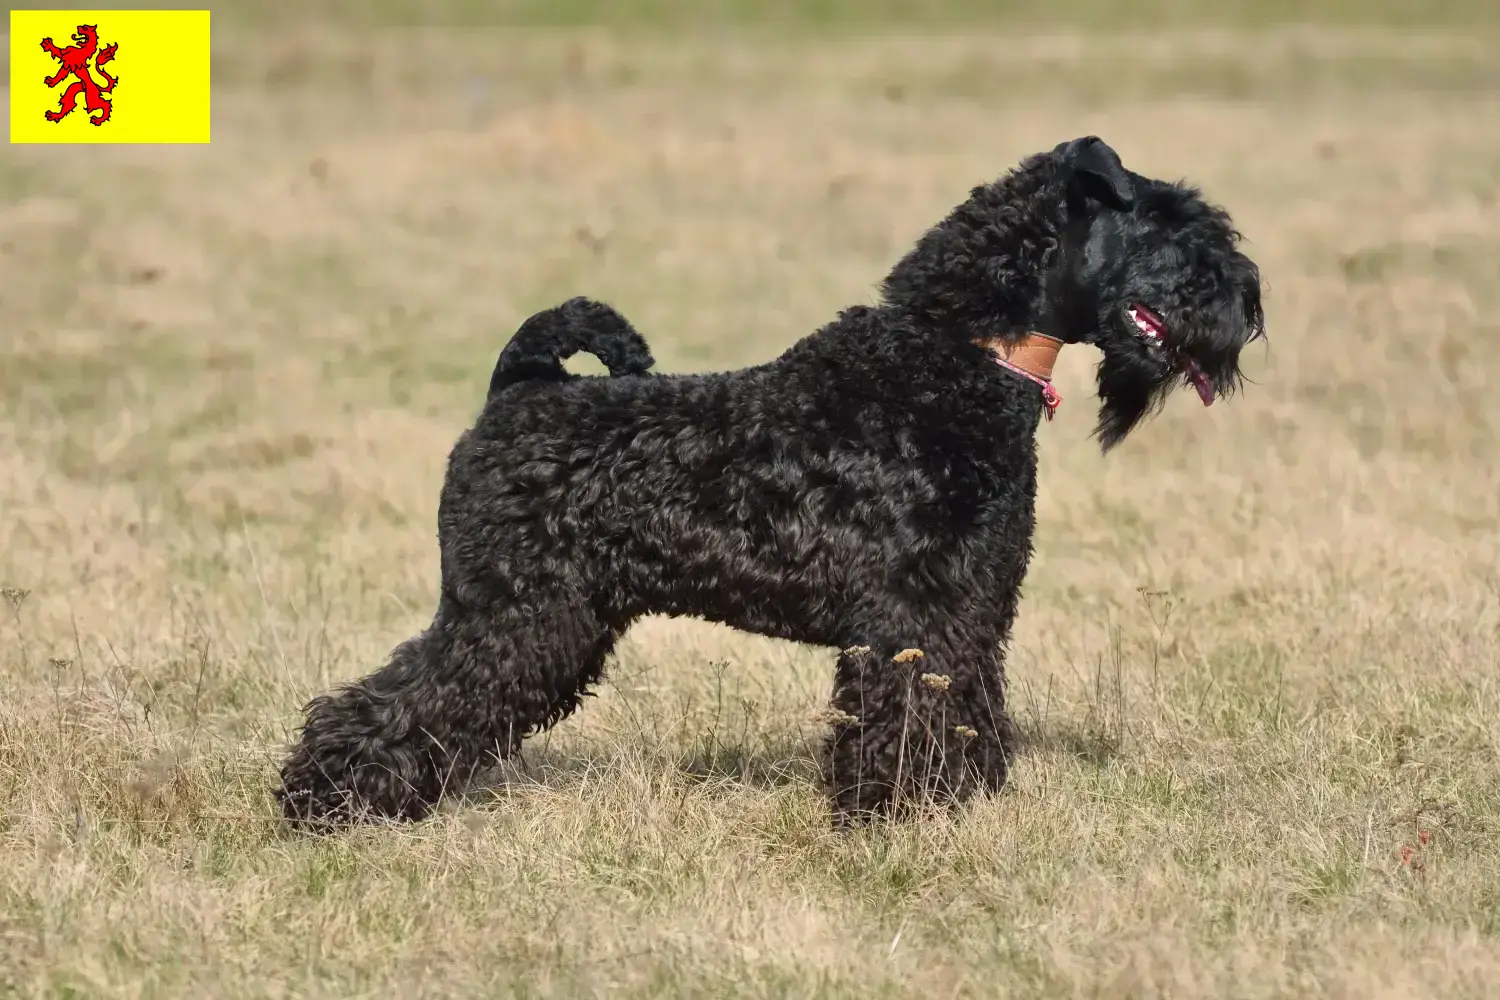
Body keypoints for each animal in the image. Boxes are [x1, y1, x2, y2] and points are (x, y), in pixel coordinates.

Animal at [276, 137, 1260, 833]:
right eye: (1176, 228)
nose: (1250, 304)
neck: (958, 359)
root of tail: (519, 388)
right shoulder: (911, 614)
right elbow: (906, 714)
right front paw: (896, 816)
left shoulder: (972, 607)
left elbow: (968, 704)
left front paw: (962, 804)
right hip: (512, 614)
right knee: (397, 699)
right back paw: (325, 801)